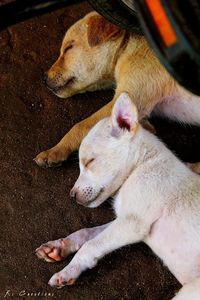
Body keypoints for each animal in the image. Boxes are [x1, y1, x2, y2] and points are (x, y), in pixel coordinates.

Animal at [34, 11, 200, 169]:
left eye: (69, 47)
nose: (43, 78)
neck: (125, 47)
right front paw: (146, 127)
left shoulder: (130, 95)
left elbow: (80, 126)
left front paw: (54, 151)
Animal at [36, 93, 200, 298]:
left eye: (90, 161)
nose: (72, 196)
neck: (140, 166)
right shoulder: (123, 219)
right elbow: (86, 233)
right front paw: (59, 246)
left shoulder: (132, 223)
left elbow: (91, 245)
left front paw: (67, 272)